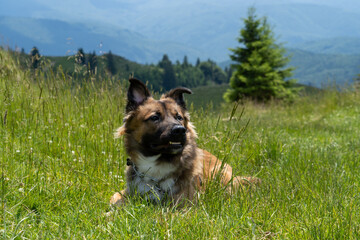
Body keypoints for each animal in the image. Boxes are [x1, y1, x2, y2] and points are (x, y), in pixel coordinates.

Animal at [109, 79, 258, 206]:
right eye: (155, 117)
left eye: (179, 117)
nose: (180, 130)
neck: (156, 164)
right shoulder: (129, 191)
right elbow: (115, 197)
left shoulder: (184, 204)